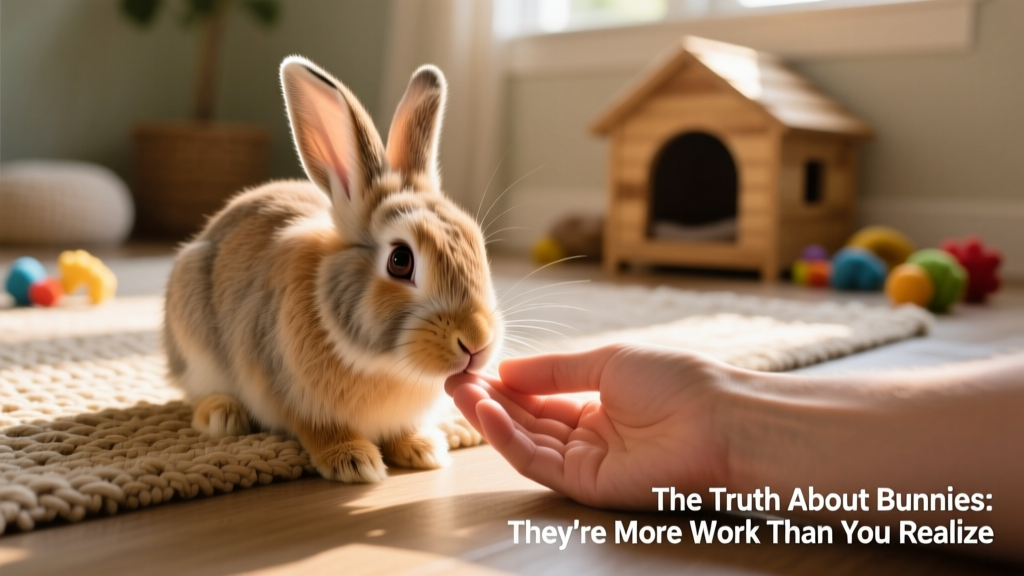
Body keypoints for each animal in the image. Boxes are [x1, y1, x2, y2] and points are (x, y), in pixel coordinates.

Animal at [163, 55, 502, 483]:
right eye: (400, 260)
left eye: (477, 243)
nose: (477, 341)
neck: (385, 365)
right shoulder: (291, 394)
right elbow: (320, 429)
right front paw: (355, 462)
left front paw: (423, 449)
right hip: (194, 341)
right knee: (199, 390)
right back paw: (222, 416)